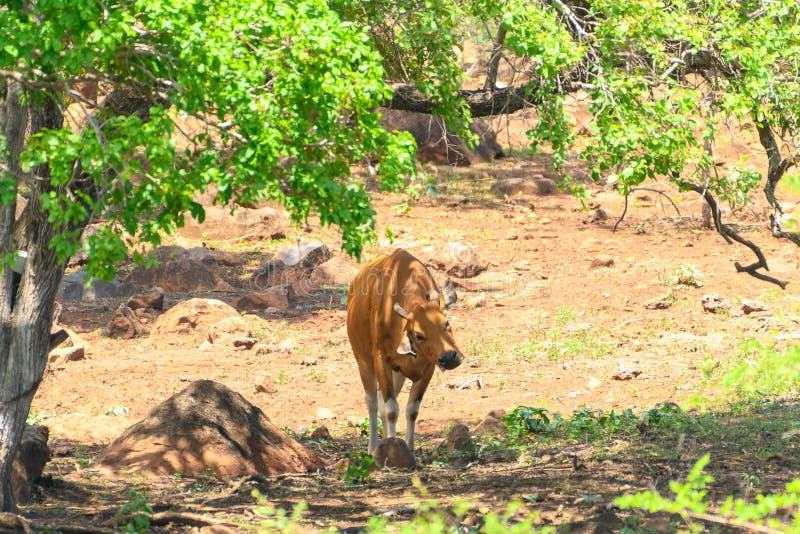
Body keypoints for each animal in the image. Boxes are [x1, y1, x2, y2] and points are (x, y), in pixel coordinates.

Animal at [346, 250, 462, 456]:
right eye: (419, 335)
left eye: (446, 323)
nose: (449, 358)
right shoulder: (381, 360)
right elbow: (391, 410)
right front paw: (392, 450)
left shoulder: (428, 367)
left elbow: (411, 409)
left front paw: (408, 449)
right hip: (363, 359)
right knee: (372, 401)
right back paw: (373, 447)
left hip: (397, 372)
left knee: (381, 403)